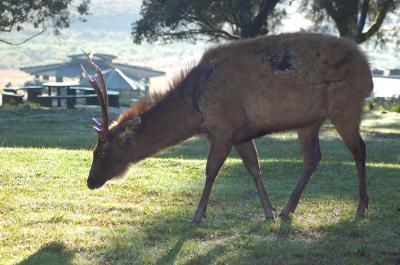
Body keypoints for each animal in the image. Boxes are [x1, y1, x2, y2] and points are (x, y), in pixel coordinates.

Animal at [83, 33, 374, 223]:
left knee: (359, 149)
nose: (90, 181)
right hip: (309, 121)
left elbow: (211, 171)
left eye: (102, 152)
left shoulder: (223, 128)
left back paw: (361, 208)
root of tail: (368, 72)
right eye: (94, 150)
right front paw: (268, 212)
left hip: (346, 106)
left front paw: (198, 215)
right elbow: (254, 168)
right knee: (313, 157)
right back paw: (287, 209)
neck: (196, 110)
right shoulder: (240, 133)